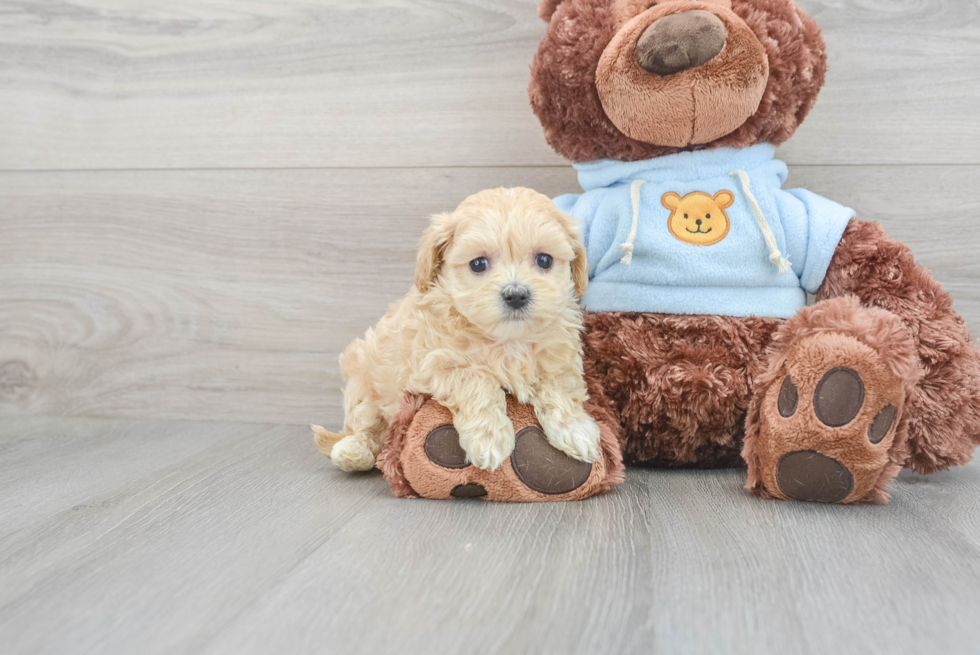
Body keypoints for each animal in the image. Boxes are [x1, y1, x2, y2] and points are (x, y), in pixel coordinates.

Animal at [318, 187, 600, 474]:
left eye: (544, 260)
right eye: (478, 264)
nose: (516, 294)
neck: (508, 340)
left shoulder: (560, 357)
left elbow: (561, 388)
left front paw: (574, 430)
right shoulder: (434, 364)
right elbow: (477, 381)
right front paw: (489, 438)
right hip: (364, 382)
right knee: (365, 423)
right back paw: (354, 450)